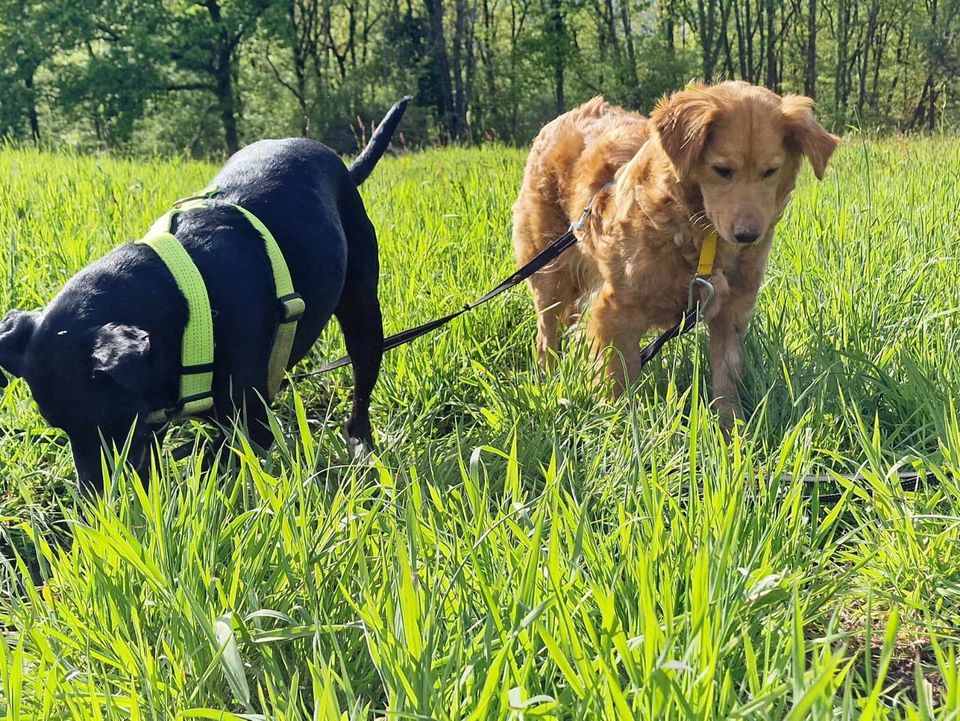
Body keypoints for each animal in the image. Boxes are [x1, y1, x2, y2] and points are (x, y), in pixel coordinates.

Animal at [0, 97, 408, 496]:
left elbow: (217, 461)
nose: (95, 501)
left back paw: (360, 443)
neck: (188, 302)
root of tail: (343, 169)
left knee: (362, 384)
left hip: (363, 314)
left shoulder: (250, 422)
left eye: (110, 421)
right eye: (63, 428)